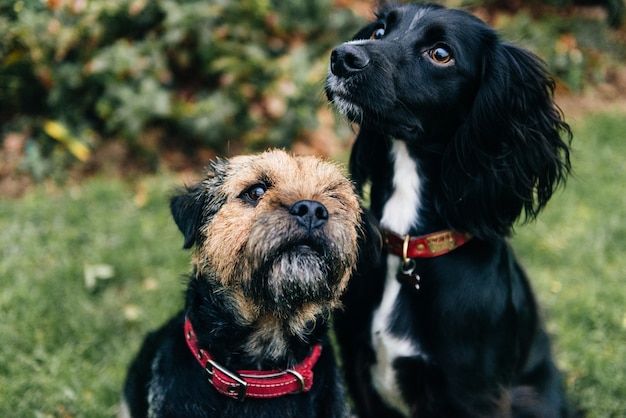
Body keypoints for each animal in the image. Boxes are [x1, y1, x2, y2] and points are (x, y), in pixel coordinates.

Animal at [324, 3, 572, 418]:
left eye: (441, 54)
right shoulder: (356, 367)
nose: (342, 57)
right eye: (379, 32)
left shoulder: (474, 393)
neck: (409, 251)